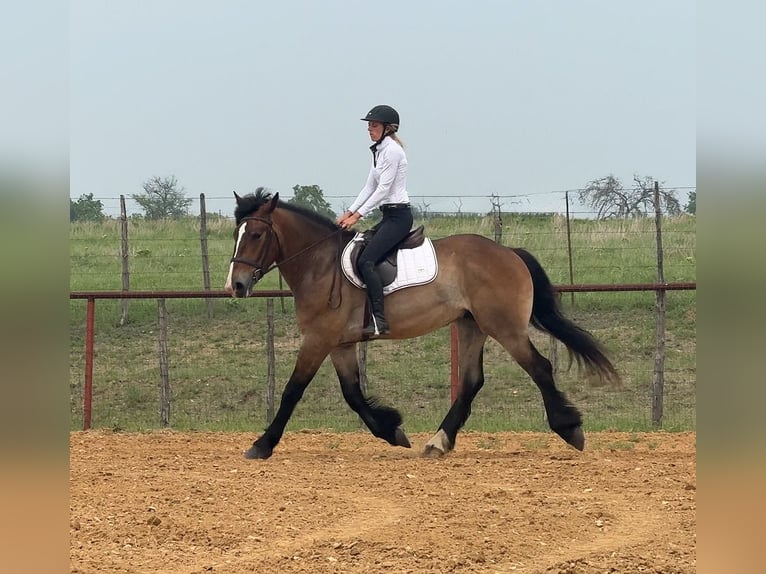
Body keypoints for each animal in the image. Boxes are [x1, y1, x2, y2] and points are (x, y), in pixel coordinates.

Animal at [224, 188, 619, 459]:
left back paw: (569, 430)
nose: (236, 285)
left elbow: (293, 391)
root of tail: (509, 252)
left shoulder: (317, 340)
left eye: (256, 235)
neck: (320, 265)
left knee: (539, 367)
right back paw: (438, 442)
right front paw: (392, 430)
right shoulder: (340, 344)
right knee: (472, 381)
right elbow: (353, 394)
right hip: (471, 325)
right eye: (236, 234)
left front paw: (262, 445)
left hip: (504, 327)